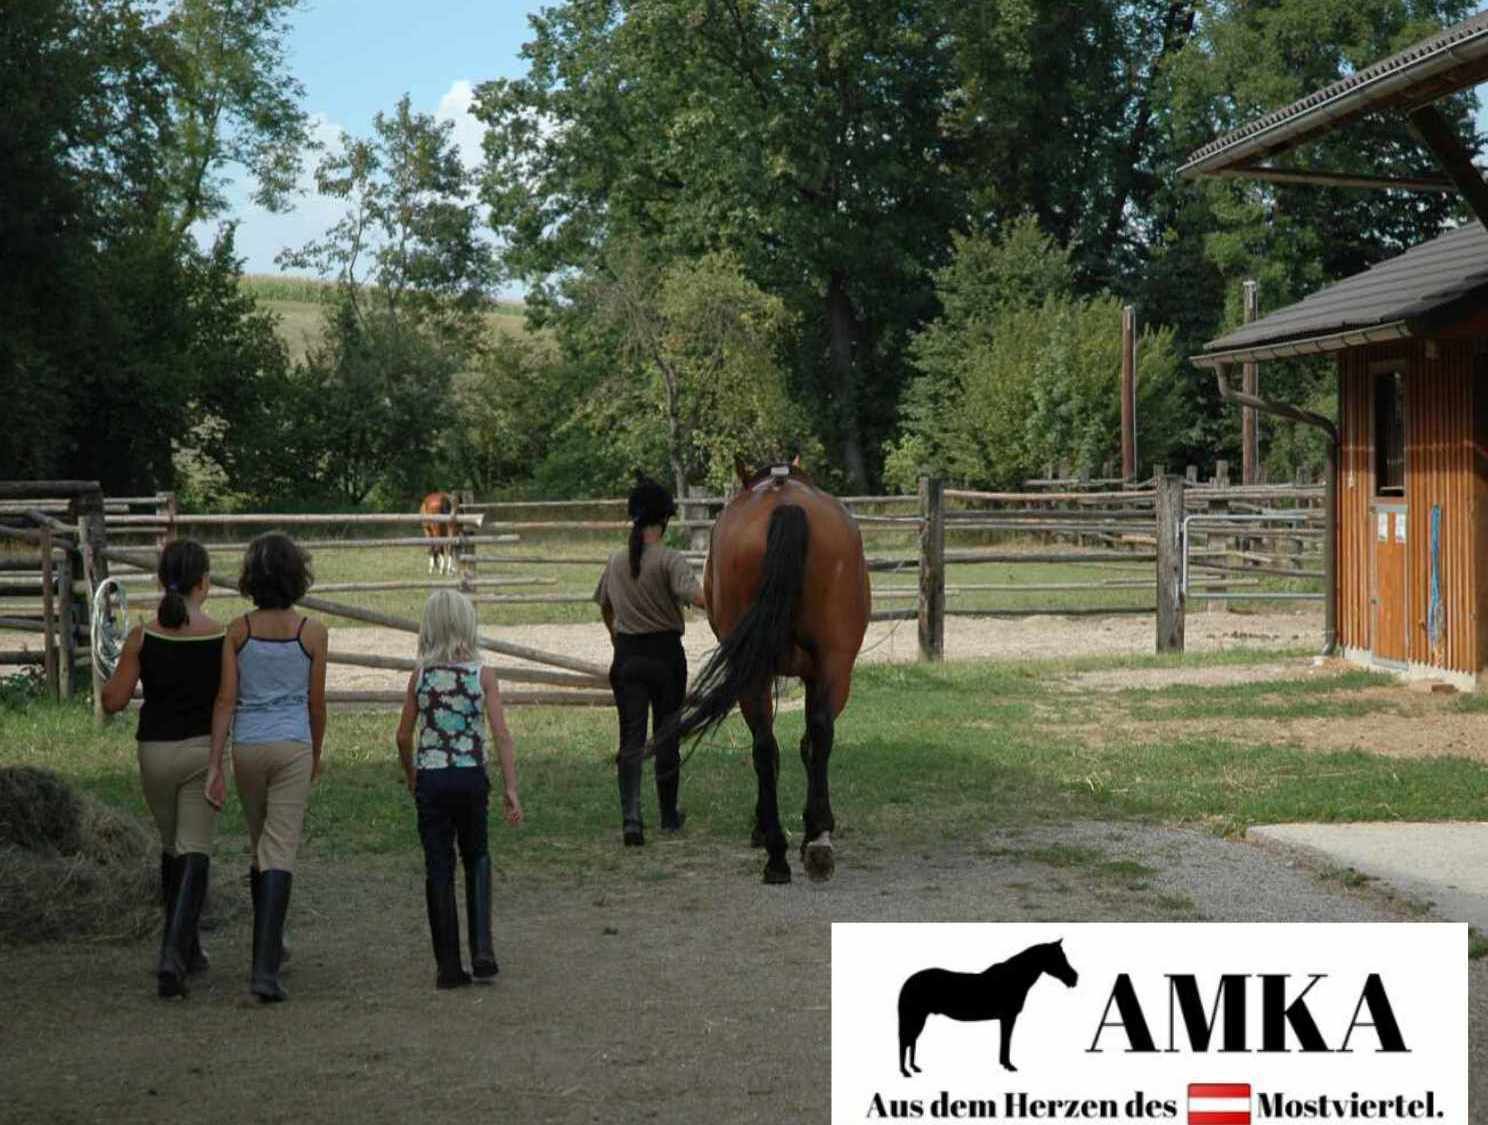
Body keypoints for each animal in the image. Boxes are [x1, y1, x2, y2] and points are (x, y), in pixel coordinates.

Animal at [668, 456, 869, 885]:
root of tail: (786, 505)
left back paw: (782, 848)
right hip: (831, 663)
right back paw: (807, 846)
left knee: (768, 744)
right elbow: (808, 742)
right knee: (805, 737)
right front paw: (811, 826)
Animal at [897, 939, 1079, 1078]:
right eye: (1059, 958)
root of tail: (908, 982)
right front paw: (1008, 1065)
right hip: (915, 1018)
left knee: (911, 1041)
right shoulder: (1008, 1017)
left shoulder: (1005, 1018)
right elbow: (1006, 1041)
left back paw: (914, 1068)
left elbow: (1005, 1041)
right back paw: (905, 1072)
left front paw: (1004, 1064)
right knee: (905, 1041)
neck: (1013, 978)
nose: (1074, 978)